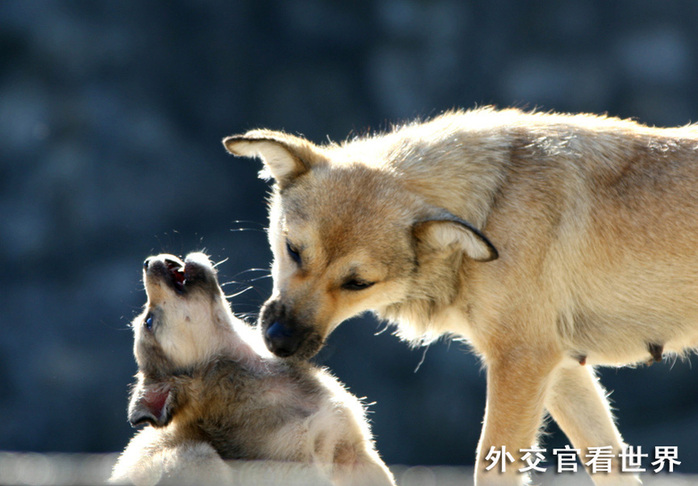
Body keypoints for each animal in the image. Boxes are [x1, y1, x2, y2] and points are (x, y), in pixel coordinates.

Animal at [224, 108, 696, 484]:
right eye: (293, 251)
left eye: (358, 283)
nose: (278, 342)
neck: (492, 206)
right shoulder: (561, 368)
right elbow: (610, 463)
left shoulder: (522, 361)